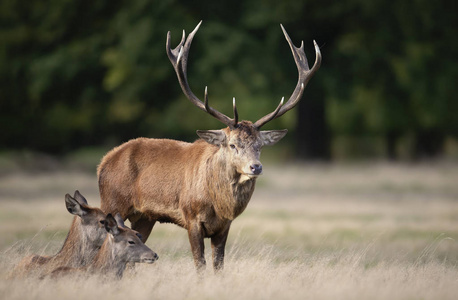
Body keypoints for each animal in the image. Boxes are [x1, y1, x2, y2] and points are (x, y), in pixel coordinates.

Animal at [98, 21, 320, 272]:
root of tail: (104, 161)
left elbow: (218, 265)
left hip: (145, 216)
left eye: (260, 145)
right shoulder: (191, 218)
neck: (218, 205)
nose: (256, 167)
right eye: (232, 144)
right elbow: (200, 264)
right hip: (112, 201)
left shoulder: (224, 226)